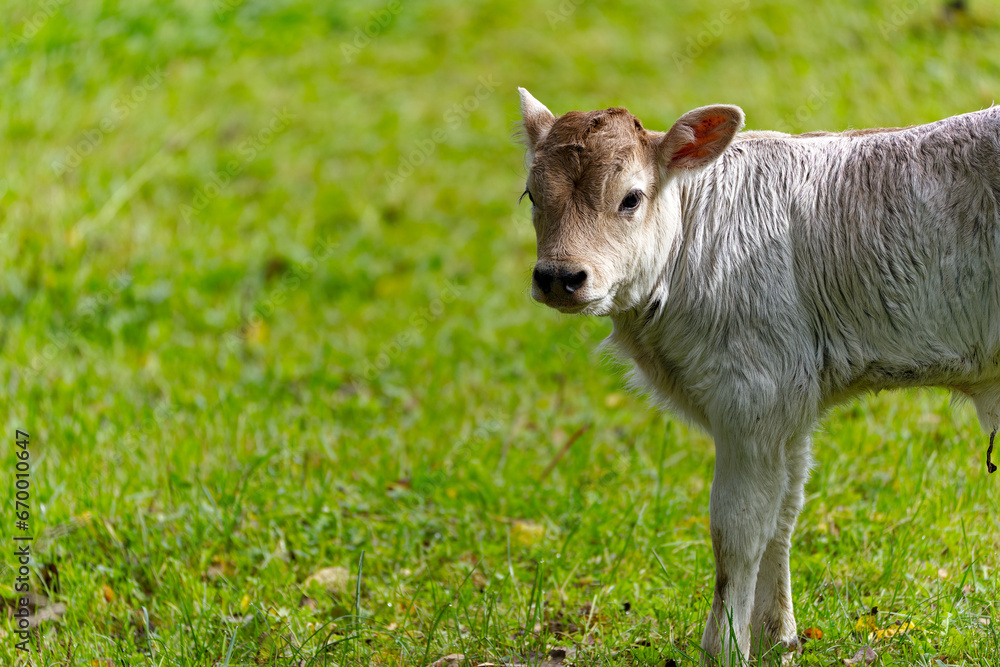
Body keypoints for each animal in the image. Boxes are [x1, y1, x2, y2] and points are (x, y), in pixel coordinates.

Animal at [516, 87, 999, 665]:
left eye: (630, 198)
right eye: (531, 194)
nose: (559, 277)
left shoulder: (751, 395)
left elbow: (738, 529)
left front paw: (724, 646)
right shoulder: (790, 404)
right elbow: (783, 515)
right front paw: (778, 638)